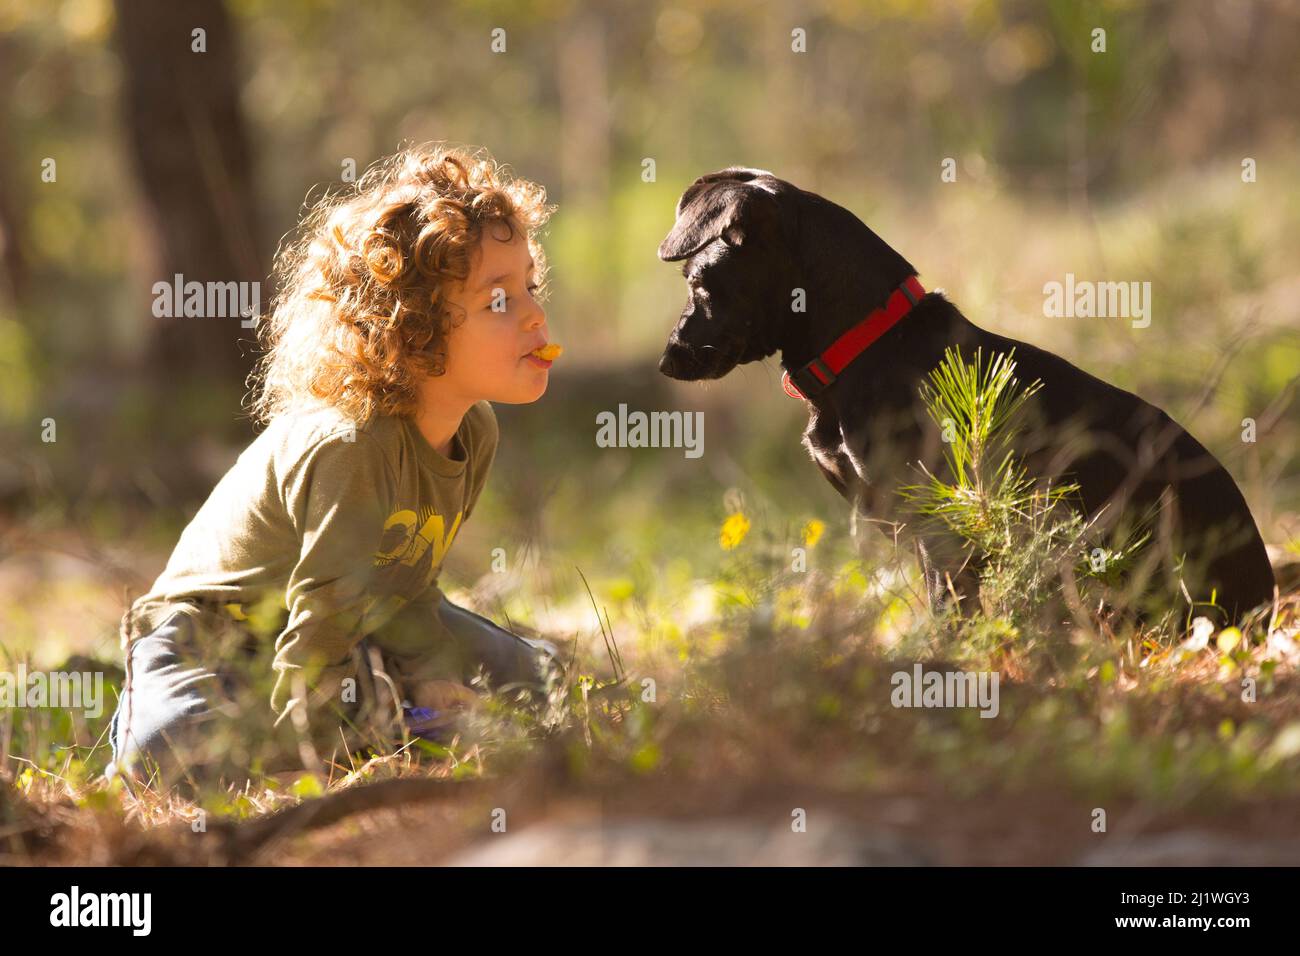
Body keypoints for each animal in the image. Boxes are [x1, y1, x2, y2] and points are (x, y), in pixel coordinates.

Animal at [655, 169, 1274, 624]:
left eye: (698, 283)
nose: (667, 361)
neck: (867, 346)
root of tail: (1263, 605)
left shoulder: (938, 531)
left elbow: (950, 616)